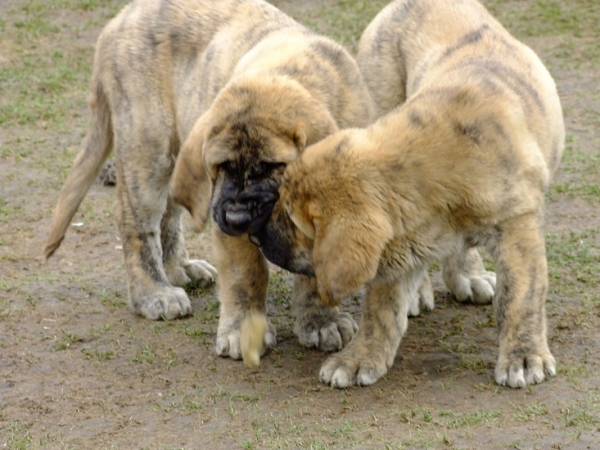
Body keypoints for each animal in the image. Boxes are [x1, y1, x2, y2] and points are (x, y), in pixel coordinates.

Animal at [44, 0, 372, 358]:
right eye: (222, 165)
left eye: (272, 166)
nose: (237, 217)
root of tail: (119, 21)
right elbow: (246, 273)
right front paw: (242, 331)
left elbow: (316, 271)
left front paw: (320, 321)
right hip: (149, 143)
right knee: (137, 222)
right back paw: (154, 292)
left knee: (169, 213)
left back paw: (180, 269)